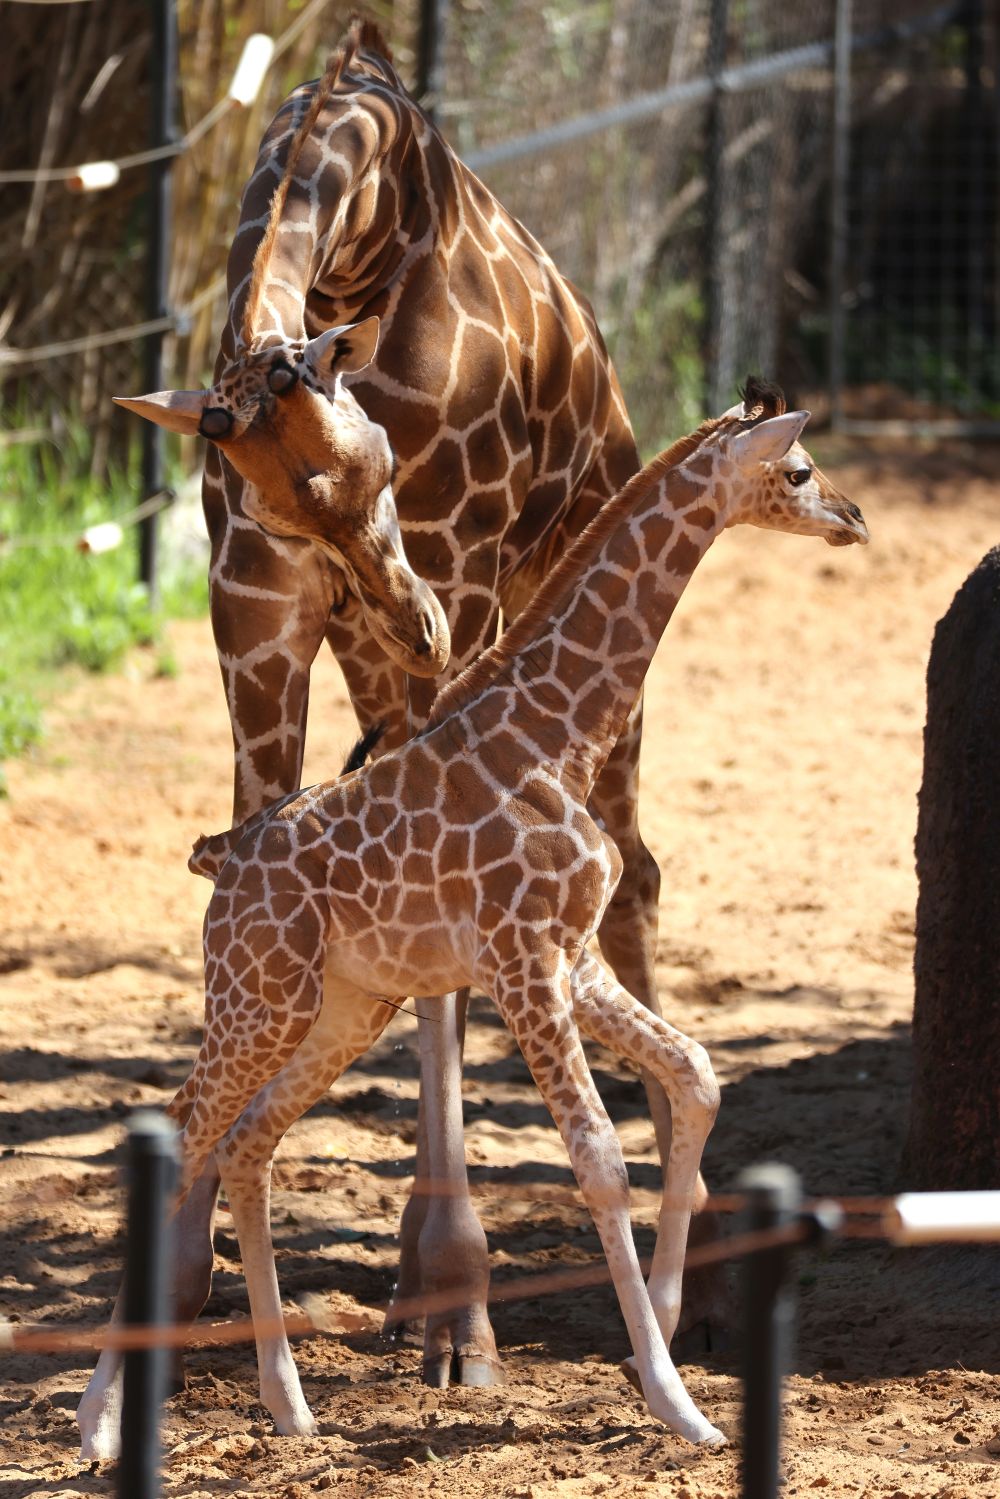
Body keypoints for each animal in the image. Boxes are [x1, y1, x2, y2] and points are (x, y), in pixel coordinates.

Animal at [78, 377, 863, 1451]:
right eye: (798, 469)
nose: (854, 519)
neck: (559, 733)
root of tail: (222, 859)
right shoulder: (522, 959)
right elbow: (598, 1156)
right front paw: (676, 1401)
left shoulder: (573, 958)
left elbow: (697, 1074)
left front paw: (658, 1337)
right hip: (256, 997)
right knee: (188, 1129)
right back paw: (98, 1424)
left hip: (340, 1009)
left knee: (248, 1143)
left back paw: (290, 1404)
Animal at [121, 17, 722, 1385]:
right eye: (285, 503)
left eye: (378, 462)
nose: (418, 623)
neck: (367, 236)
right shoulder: (254, 620)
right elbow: (250, 862)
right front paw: (174, 1283)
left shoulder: (454, 609)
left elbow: (447, 976)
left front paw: (453, 1297)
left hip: (555, 621)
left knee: (640, 869)